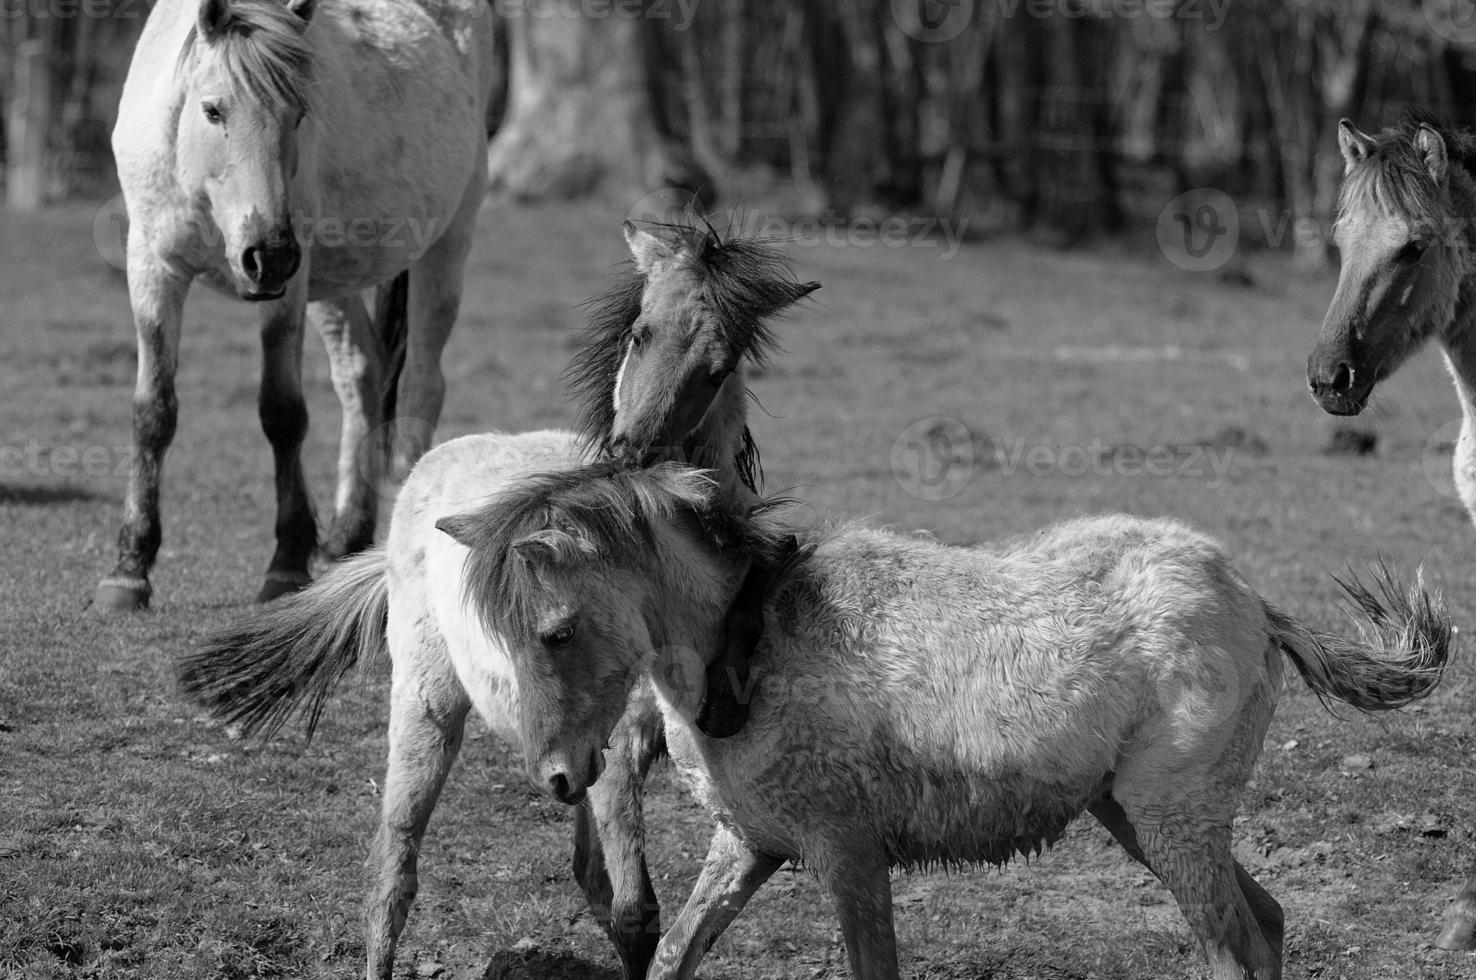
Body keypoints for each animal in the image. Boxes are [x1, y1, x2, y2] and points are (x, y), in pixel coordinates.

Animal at [96, 0, 495, 608]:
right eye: (212, 109)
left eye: (299, 113)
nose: (268, 253)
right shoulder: (151, 267)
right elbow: (153, 412)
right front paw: (129, 570)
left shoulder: (290, 283)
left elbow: (281, 413)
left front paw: (285, 563)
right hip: (336, 281)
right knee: (362, 373)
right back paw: (346, 539)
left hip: (446, 246)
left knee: (423, 386)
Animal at [448, 466, 1452, 980]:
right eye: (499, 634)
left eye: (556, 630)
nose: (558, 779)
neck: (752, 642)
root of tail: (1254, 600)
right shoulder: (748, 845)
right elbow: (671, 958)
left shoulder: (848, 854)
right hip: (1141, 816)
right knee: (1268, 924)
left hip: (1173, 822)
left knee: (1236, 949)